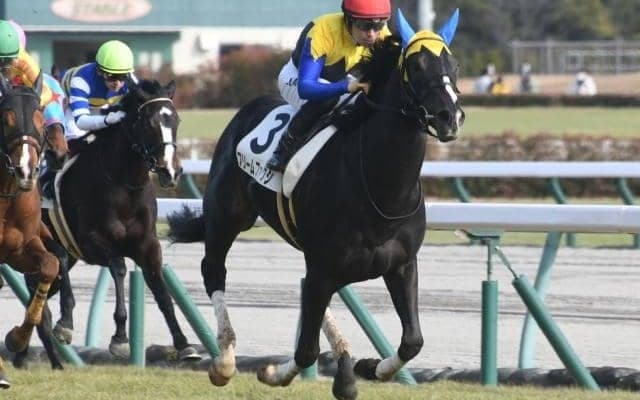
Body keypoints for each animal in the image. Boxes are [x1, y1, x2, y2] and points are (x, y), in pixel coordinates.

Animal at [16, 78, 199, 368]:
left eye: (176, 120)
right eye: (149, 123)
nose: (171, 171)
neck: (125, 185)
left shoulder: (148, 244)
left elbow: (161, 289)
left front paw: (184, 344)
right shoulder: (92, 241)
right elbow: (120, 268)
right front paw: (121, 339)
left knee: (42, 289)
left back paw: (24, 350)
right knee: (58, 269)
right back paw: (63, 325)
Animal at [166, 12, 464, 400]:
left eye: (453, 66)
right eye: (415, 66)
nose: (449, 117)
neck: (382, 187)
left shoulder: (400, 265)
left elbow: (412, 341)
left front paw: (369, 367)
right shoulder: (324, 266)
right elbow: (306, 350)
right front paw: (275, 372)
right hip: (227, 217)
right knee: (213, 269)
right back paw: (225, 360)